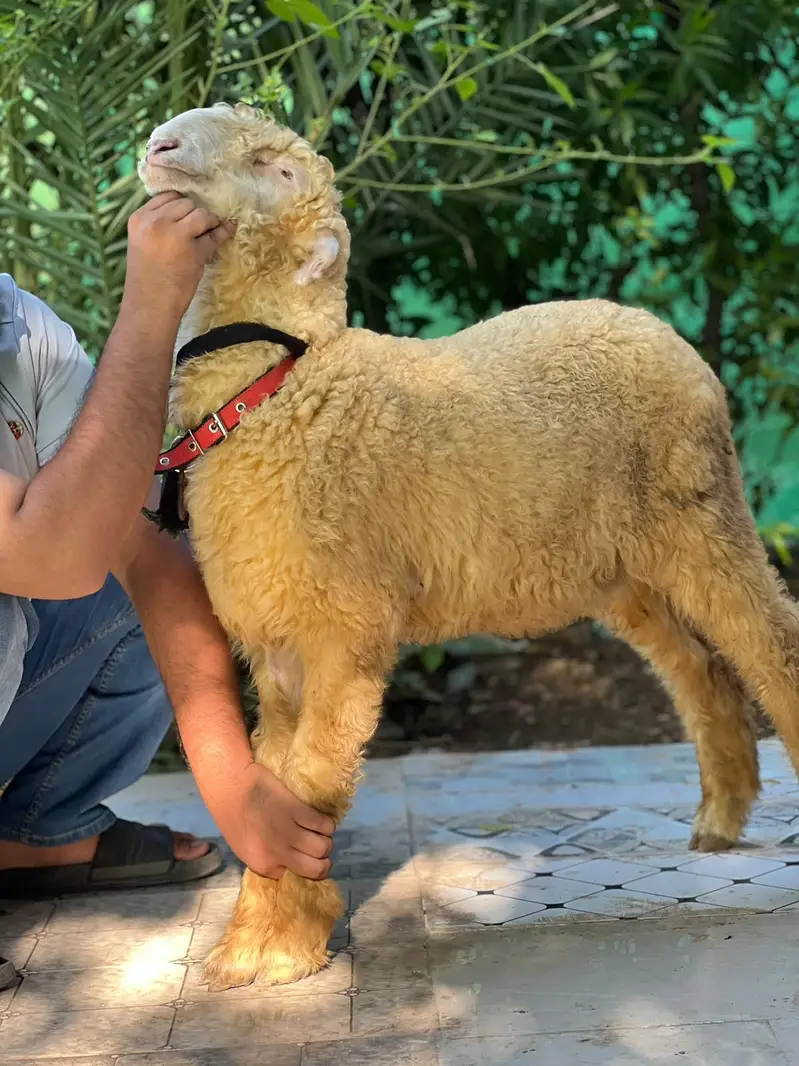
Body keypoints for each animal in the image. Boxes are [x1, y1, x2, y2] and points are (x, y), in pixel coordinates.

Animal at [140, 101, 799, 990]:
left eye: (272, 168)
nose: (160, 143)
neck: (282, 391)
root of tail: (658, 328)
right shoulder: (279, 652)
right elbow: (270, 790)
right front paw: (256, 942)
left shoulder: (344, 631)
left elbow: (312, 781)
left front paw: (281, 949)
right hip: (623, 569)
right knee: (699, 670)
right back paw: (719, 817)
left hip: (702, 516)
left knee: (771, 643)